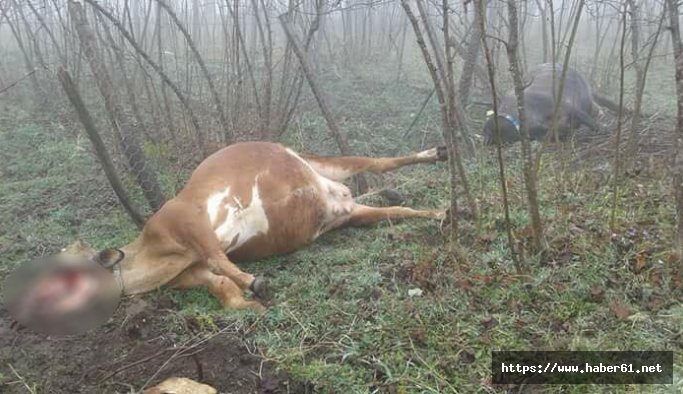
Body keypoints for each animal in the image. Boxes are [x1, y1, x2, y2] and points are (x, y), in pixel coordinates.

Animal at [8, 143, 448, 334]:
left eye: (61, 263)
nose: (19, 302)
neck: (153, 254)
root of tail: (336, 197)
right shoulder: (192, 272)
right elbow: (220, 283)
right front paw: (248, 303)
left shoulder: (190, 223)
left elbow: (220, 258)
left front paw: (257, 282)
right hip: (352, 215)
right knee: (399, 211)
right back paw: (439, 213)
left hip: (326, 162)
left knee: (379, 161)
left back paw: (435, 154)